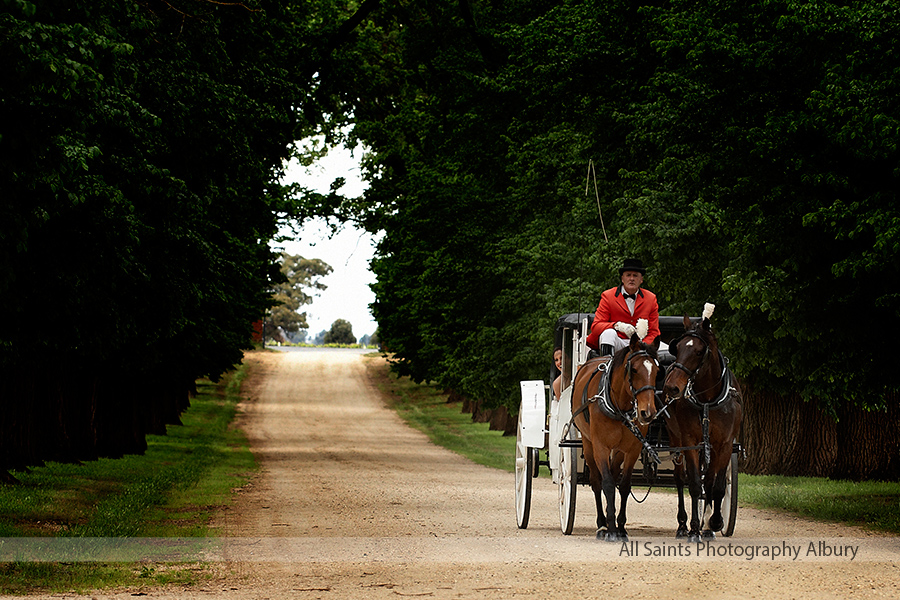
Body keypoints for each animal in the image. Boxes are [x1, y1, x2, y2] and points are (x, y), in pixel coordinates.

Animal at [572, 330, 656, 540]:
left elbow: (624, 485)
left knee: (613, 472)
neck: (620, 408)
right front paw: (610, 528)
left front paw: (621, 527)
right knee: (596, 482)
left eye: (657, 371)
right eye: (634, 370)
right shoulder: (601, 446)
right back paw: (601, 524)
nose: (647, 412)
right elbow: (608, 483)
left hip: (618, 451)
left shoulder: (632, 449)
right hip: (588, 444)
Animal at [664, 310, 740, 544]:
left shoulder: (724, 444)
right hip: (676, 440)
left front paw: (713, 523)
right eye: (677, 348)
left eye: (699, 351)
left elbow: (717, 486)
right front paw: (694, 529)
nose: (671, 387)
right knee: (681, 479)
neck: (707, 400)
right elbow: (695, 484)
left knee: (709, 483)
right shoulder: (690, 441)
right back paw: (683, 525)